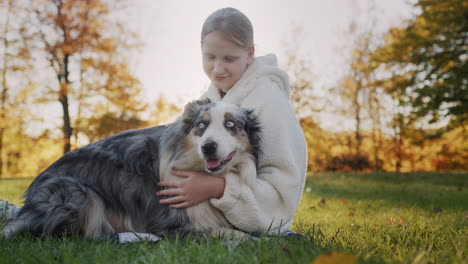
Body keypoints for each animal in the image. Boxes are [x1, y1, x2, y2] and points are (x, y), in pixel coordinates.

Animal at [1, 100, 262, 238]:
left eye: (231, 124)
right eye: (201, 126)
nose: (208, 148)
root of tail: (29, 204)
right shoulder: (175, 224)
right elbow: (238, 235)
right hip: (79, 194)